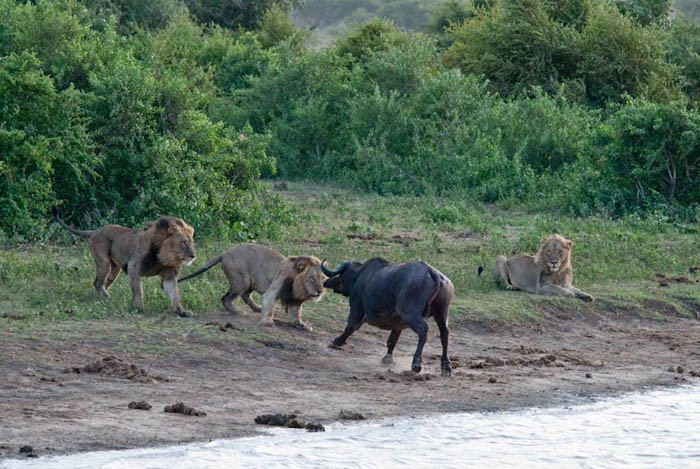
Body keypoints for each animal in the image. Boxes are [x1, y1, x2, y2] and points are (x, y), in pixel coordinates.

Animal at [51, 207, 196, 316]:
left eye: (191, 242)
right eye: (184, 242)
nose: (193, 256)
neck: (164, 256)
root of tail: (95, 230)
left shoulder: (168, 274)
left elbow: (174, 293)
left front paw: (182, 311)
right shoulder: (133, 266)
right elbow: (138, 290)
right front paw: (138, 307)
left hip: (115, 269)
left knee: (102, 283)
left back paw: (102, 298)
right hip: (104, 263)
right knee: (98, 283)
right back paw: (108, 298)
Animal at [178, 243, 326, 330]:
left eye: (323, 279)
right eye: (311, 278)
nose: (320, 291)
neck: (299, 287)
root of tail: (225, 252)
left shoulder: (295, 300)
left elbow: (296, 314)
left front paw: (302, 324)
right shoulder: (273, 291)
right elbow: (270, 306)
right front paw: (267, 321)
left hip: (249, 282)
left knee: (245, 296)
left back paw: (257, 308)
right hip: (241, 280)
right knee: (225, 298)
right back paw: (239, 312)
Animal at [322, 256, 454, 376]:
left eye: (342, 275)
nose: (329, 284)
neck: (360, 275)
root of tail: (432, 272)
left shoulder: (357, 307)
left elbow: (351, 326)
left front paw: (337, 341)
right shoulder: (398, 324)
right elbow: (392, 339)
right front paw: (387, 358)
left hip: (410, 313)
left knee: (423, 330)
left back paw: (416, 363)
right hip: (441, 312)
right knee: (444, 333)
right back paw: (446, 366)